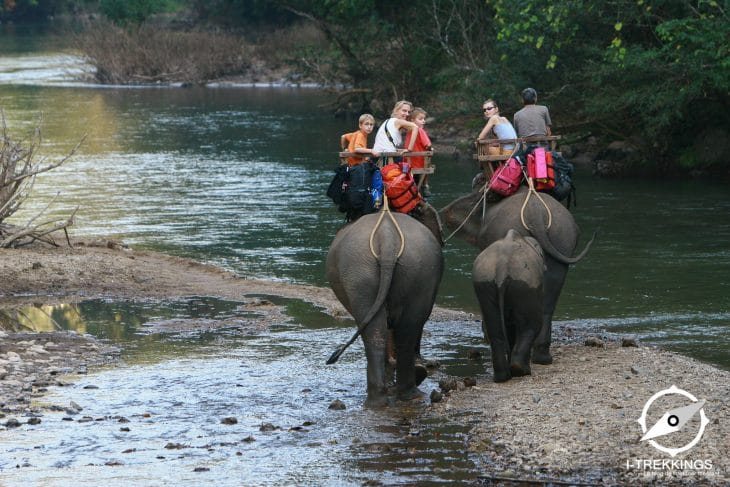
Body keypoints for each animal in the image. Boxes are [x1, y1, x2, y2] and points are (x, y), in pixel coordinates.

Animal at [326, 208, 443, 407]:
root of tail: (387, 237)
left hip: (362, 272)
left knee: (382, 330)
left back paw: (383, 398)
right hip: (411, 268)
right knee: (404, 329)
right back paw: (404, 394)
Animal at [473, 229, 545, 382]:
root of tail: (502, 267)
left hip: (484, 283)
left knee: (494, 329)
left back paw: (502, 377)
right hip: (525, 286)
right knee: (531, 326)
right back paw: (521, 371)